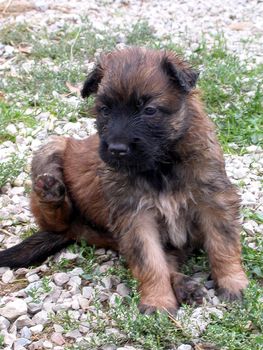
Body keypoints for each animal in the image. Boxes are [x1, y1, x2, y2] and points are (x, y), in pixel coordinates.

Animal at [0, 47, 249, 314]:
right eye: (105, 110)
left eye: (149, 110)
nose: (117, 149)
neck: (161, 166)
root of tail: (81, 232)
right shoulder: (136, 218)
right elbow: (150, 263)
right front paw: (158, 301)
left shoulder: (214, 200)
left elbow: (223, 245)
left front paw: (233, 283)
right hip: (52, 147)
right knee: (56, 219)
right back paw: (50, 192)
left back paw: (186, 287)